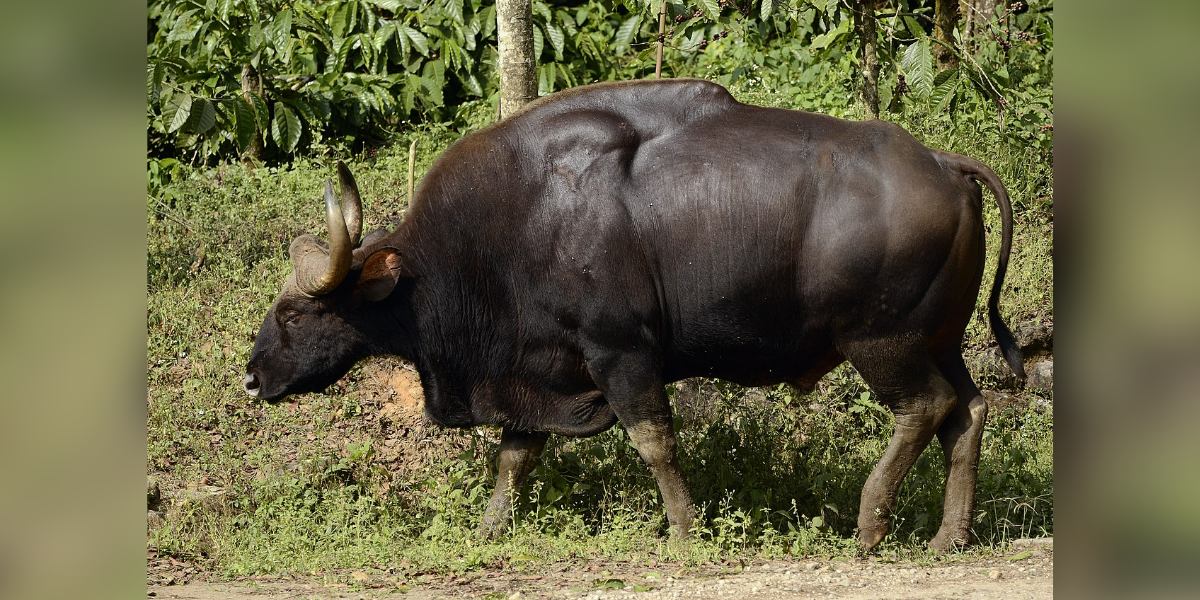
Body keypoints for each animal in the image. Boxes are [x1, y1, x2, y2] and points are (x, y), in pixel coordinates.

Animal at [243, 79, 1025, 551]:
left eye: (295, 312)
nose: (251, 378)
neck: (512, 225)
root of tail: (945, 163)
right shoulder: (538, 369)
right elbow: (515, 457)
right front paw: (491, 530)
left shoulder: (620, 353)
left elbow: (654, 443)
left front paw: (683, 531)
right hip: (941, 338)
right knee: (969, 410)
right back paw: (950, 534)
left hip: (881, 340)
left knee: (923, 408)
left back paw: (869, 525)